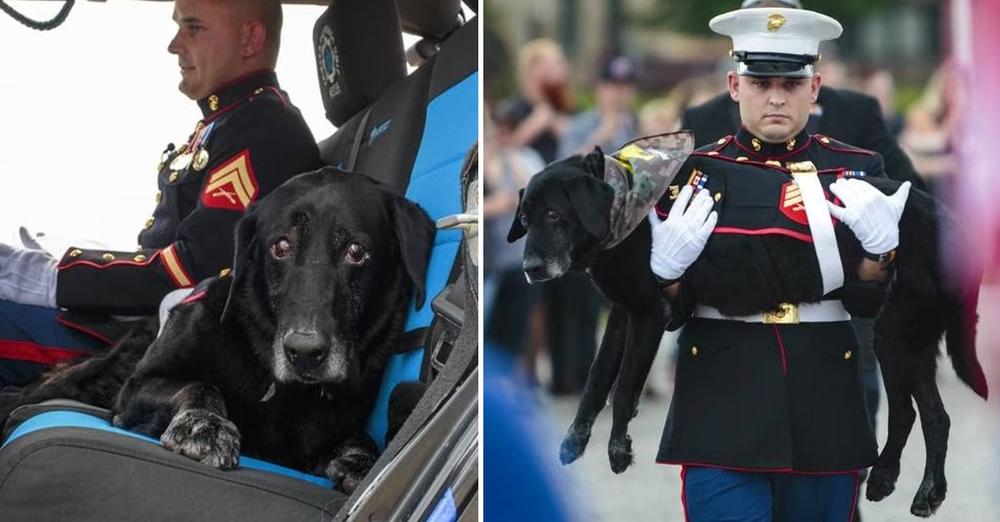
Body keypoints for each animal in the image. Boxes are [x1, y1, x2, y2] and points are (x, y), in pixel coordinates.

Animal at [1, 168, 436, 492]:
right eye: (280, 246)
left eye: (356, 252)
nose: (304, 353)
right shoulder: (138, 387)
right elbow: (200, 384)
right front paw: (206, 424)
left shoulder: (311, 445)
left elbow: (362, 438)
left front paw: (362, 459)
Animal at [512, 132, 988, 512]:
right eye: (526, 218)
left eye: (554, 215)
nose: (530, 269)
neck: (626, 196)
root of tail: (955, 224)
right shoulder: (623, 312)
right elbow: (597, 379)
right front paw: (574, 440)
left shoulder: (649, 312)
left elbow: (625, 386)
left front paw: (618, 449)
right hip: (907, 339)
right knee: (932, 417)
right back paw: (917, 487)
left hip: (895, 336)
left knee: (910, 412)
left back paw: (901, 481)